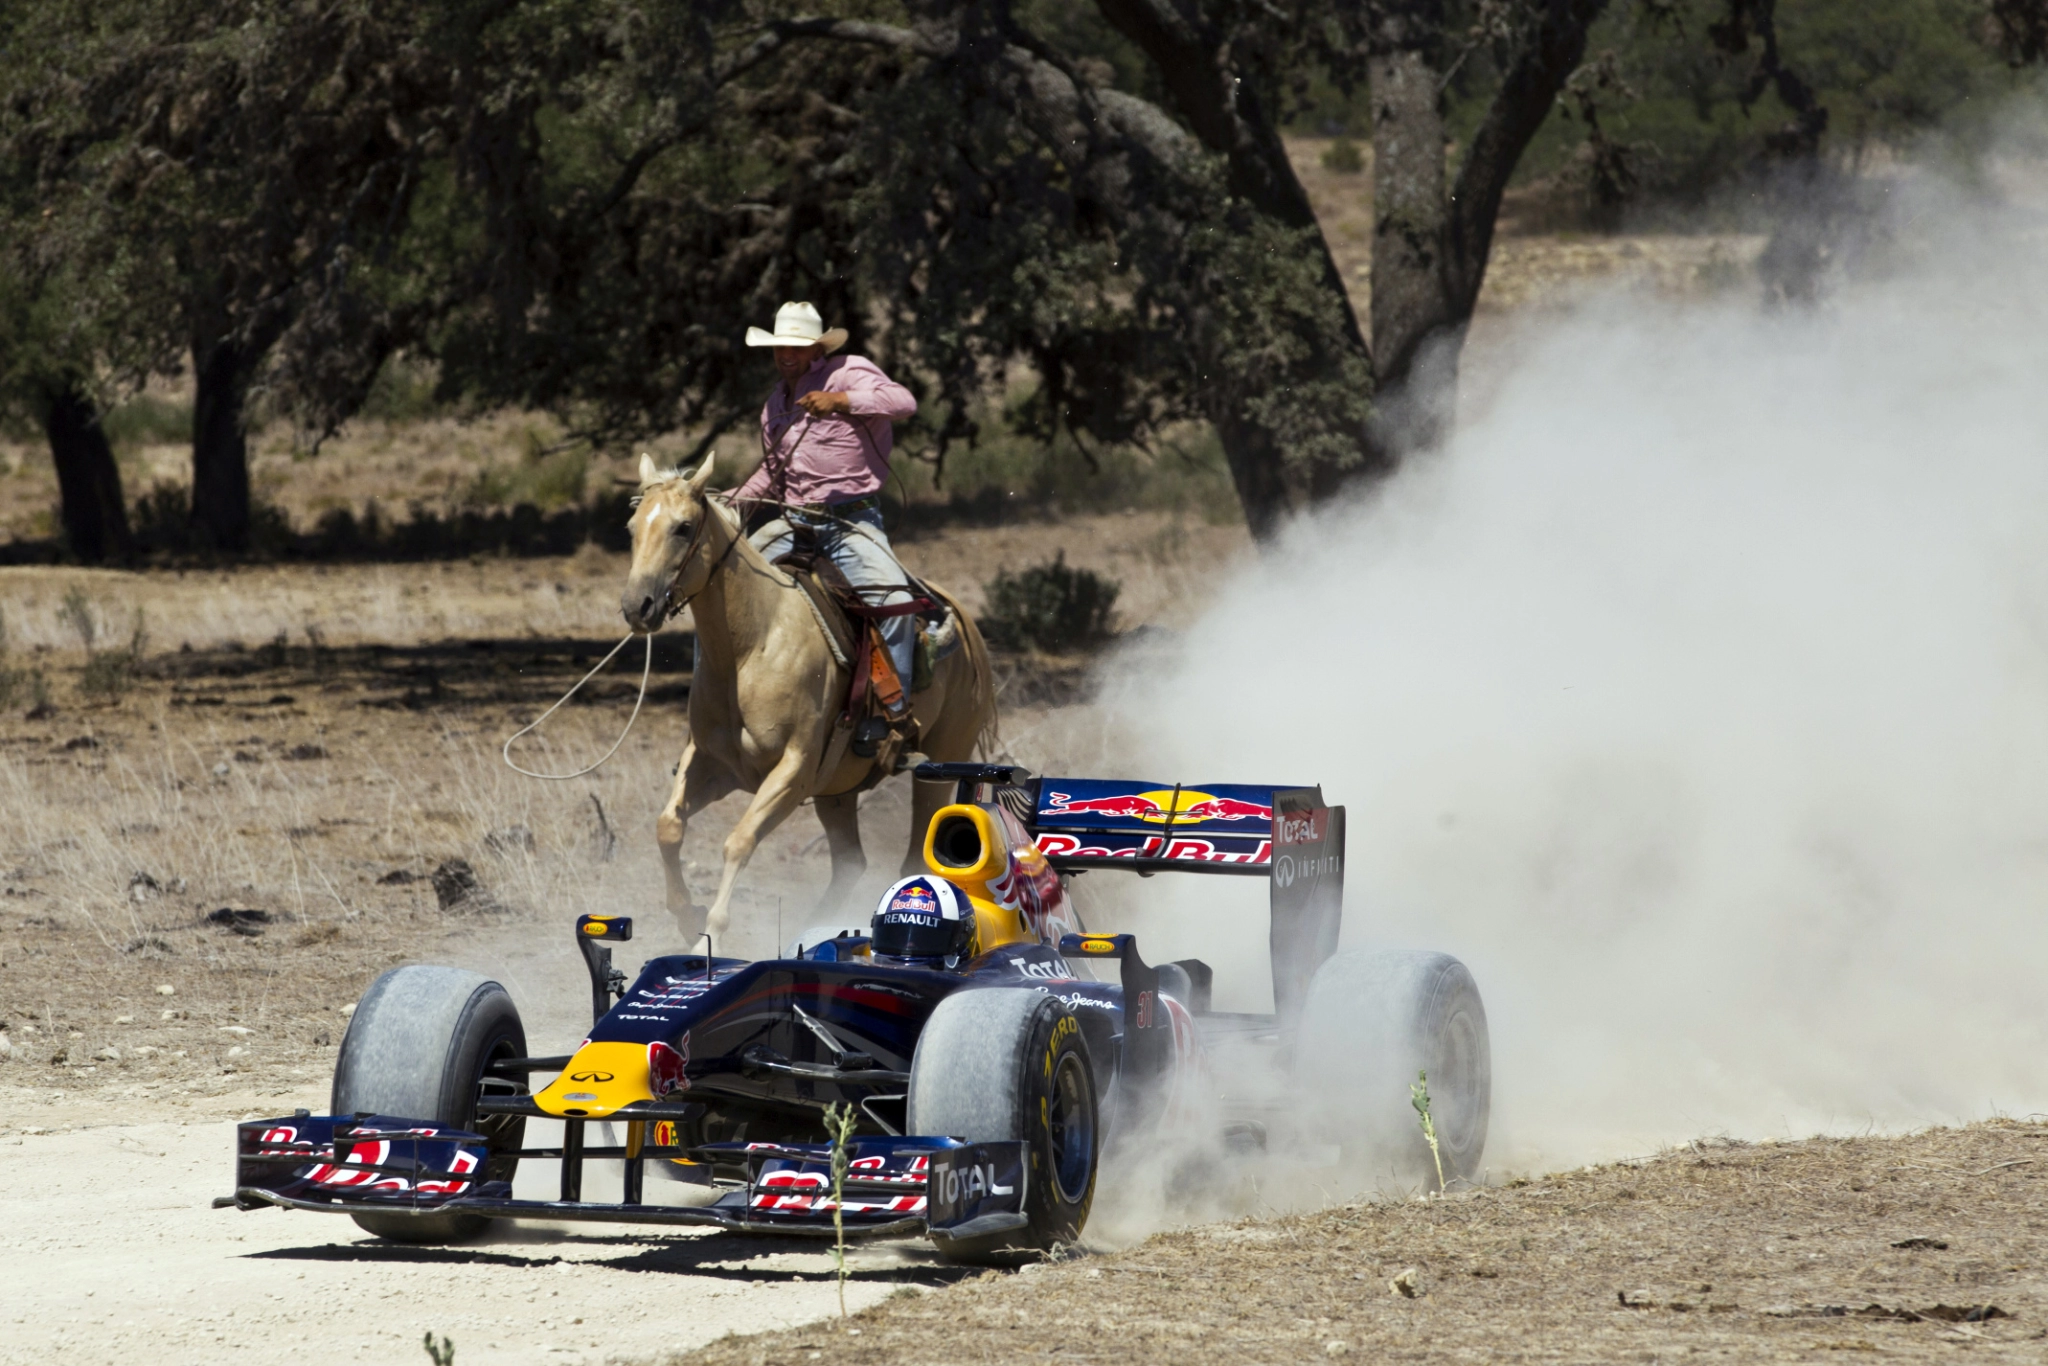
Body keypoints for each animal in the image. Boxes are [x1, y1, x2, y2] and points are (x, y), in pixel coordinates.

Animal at [614, 454, 999, 946]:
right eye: (632, 527)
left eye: (683, 527)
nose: (637, 607)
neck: (750, 648)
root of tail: (968, 628)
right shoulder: (712, 765)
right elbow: (668, 827)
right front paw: (686, 914)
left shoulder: (792, 772)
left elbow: (739, 841)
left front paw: (710, 932)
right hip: (836, 791)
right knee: (851, 862)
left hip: (940, 763)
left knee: (915, 855)